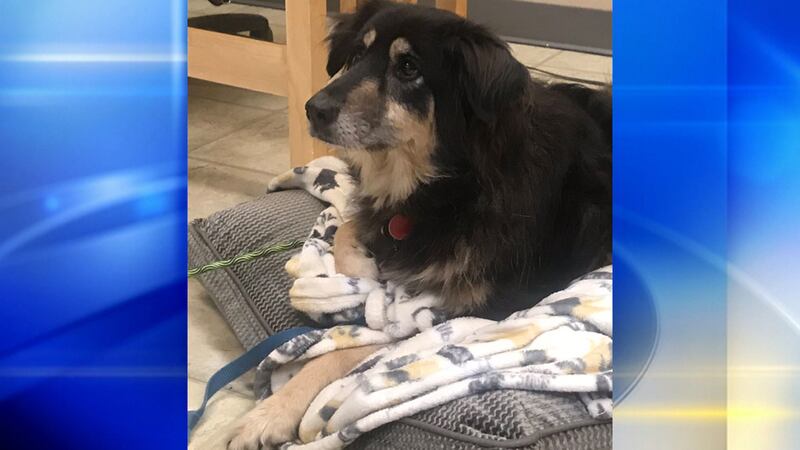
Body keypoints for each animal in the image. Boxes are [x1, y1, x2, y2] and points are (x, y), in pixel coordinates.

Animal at [228, 2, 611, 448]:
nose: (313, 109)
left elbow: (358, 348)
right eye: (358, 55)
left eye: (408, 67)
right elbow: (349, 228)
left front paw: (269, 414)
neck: (448, 184)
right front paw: (360, 269)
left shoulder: (483, 308)